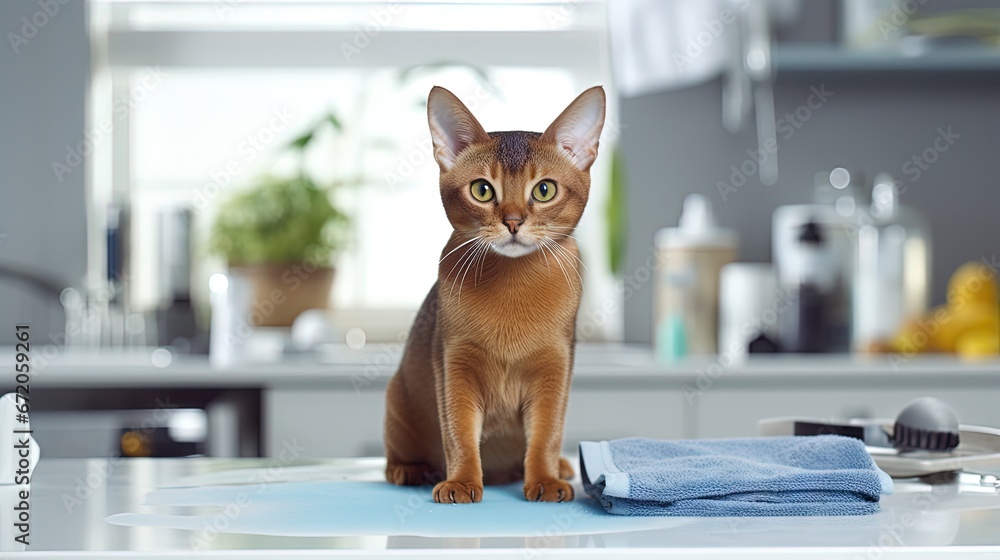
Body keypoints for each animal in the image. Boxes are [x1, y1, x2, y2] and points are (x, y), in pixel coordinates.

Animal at [380, 84, 600, 504]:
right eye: (482, 190)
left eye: (544, 190)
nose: (513, 222)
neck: (512, 284)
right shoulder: (454, 365)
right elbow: (459, 433)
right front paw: (462, 482)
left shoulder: (555, 369)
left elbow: (547, 434)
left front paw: (545, 479)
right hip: (396, 396)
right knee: (393, 457)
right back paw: (410, 470)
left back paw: (558, 467)